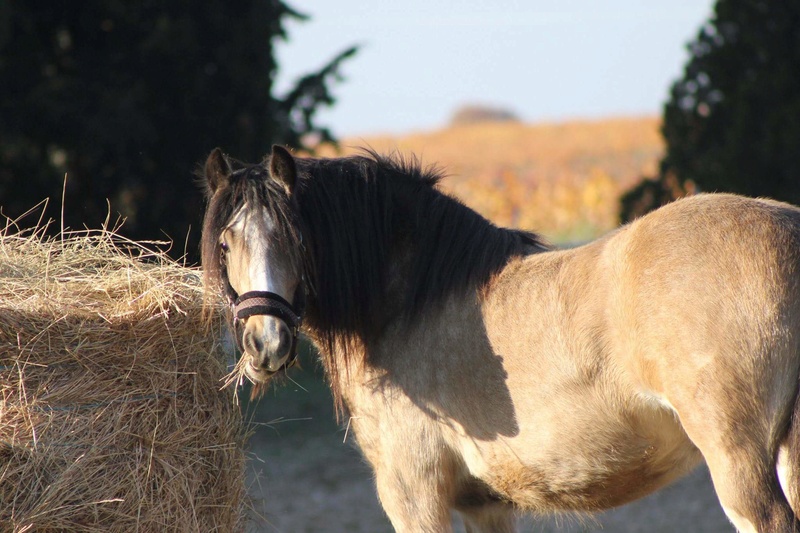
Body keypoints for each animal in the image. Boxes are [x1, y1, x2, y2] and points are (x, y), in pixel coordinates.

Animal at [200, 145, 800, 532]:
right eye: (227, 244)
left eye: (296, 239)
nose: (265, 344)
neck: (410, 300)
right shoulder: (484, 503)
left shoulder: (413, 493)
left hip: (738, 459)